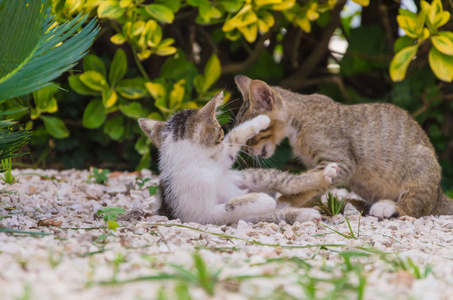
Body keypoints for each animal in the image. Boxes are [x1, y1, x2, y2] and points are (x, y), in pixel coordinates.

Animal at [139, 92, 338, 224]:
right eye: (220, 131)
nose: (221, 135)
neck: (200, 164)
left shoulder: (221, 159)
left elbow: (234, 138)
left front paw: (262, 120)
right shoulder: (201, 214)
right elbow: (232, 206)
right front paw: (264, 199)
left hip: (248, 176)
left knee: (287, 183)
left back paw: (323, 175)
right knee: (271, 211)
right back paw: (304, 213)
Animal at [233, 76, 452, 219]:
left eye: (252, 136)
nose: (245, 151)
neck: (300, 119)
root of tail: (439, 195)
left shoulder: (342, 163)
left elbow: (314, 184)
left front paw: (286, 201)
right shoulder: (319, 163)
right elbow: (313, 184)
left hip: (420, 164)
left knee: (416, 208)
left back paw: (388, 207)